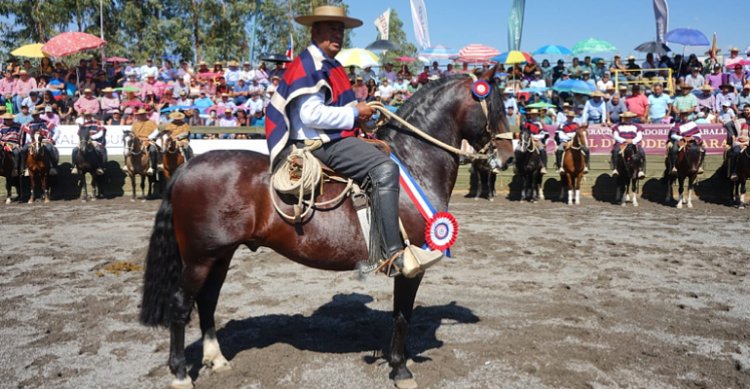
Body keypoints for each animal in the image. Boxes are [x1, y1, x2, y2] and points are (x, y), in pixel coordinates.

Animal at [140, 69, 516, 388]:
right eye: (497, 107)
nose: (508, 155)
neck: (414, 162)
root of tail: (186, 168)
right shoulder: (411, 265)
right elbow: (402, 314)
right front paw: (400, 368)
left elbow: (401, 314)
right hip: (200, 258)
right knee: (181, 305)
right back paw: (180, 374)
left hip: (220, 255)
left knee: (207, 300)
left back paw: (216, 359)